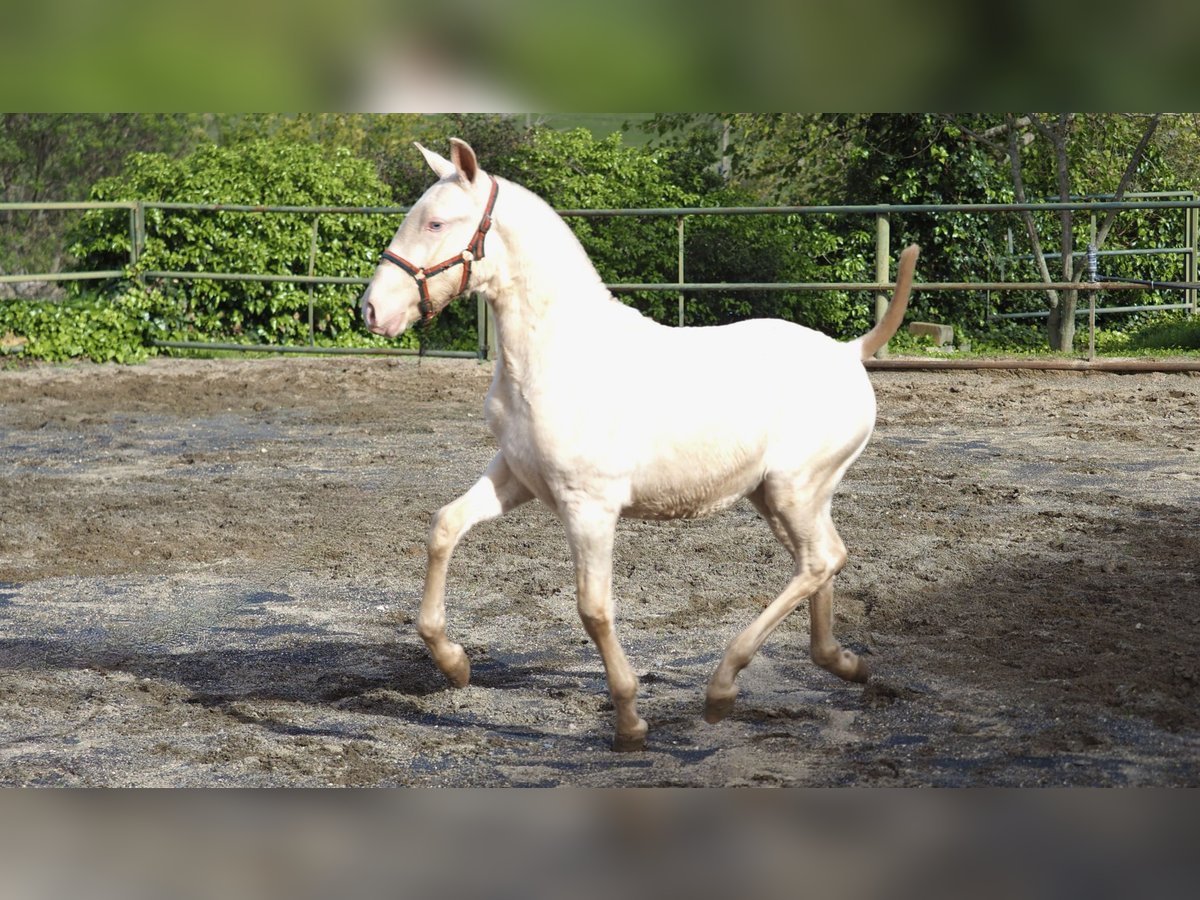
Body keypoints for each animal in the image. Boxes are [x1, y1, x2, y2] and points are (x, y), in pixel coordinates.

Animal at [360, 141, 912, 753]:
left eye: (436, 222)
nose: (372, 310)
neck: (557, 356)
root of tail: (848, 352)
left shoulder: (590, 507)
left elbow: (594, 609)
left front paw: (629, 722)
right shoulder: (516, 477)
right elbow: (444, 527)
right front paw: (454, 663)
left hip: (794, 490)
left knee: (821, 561)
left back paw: (722, 690)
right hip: (780, 496)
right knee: (820, 561)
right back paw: (843, 663)